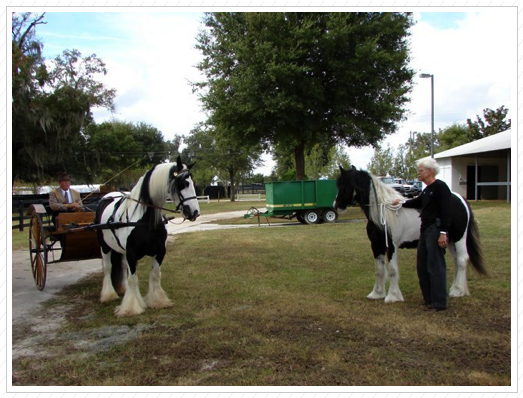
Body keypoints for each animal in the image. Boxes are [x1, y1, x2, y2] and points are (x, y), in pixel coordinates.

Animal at [95, 157, 200, 316]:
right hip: (105, 246)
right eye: (183, 183)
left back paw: (123, 290)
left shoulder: (159, 252)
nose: (194, 212)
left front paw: (157, 301)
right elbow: (133, 279)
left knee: (122, 266)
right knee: (107, 268)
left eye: (193, 182)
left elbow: (155, 275)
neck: (146, 221)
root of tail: (106, 197)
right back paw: (108, 295)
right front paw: (131, 308)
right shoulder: (132, 254)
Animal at [336, 166, 488, 304]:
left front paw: (393, 297)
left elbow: (392, 270)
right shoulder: (376, 245)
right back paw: (455, 289)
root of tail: (461, 200)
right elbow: (379, 269)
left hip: (459, 238)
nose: (336, 205)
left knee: (462, 260)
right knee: (456, 261)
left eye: (342, 184)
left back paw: (458, 291)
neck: (383, 214)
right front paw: (377, 294)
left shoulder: (392, 246)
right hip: (448, 240)